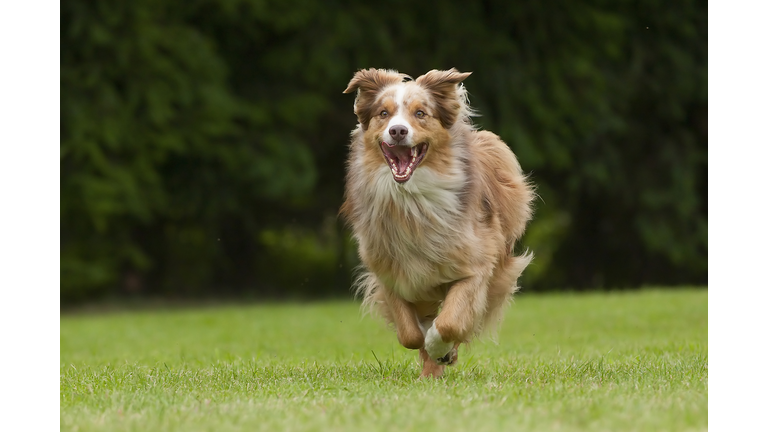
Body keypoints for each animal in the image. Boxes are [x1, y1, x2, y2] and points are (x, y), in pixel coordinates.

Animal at [342, 68, 536, 378]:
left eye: (420, 113)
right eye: (384, 113)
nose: (398, 131)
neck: (411, 199)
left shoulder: (476, 268)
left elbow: (450, 323)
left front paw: (438, 346)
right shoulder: (392, 274)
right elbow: (410, 334)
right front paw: (429, 348)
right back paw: (430, 373)